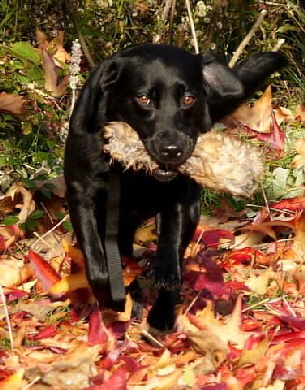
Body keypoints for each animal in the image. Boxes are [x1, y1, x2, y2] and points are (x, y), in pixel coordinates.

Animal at [64, 44, 284, 330]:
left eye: (188, 99)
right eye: (144, 98)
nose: (173, 150)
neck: (132, 173)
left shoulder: (179, 195)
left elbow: (172, 238)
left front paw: (165, 272)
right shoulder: (81, 197)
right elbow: (97, 265)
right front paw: (111, 296)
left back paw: (161, 313)